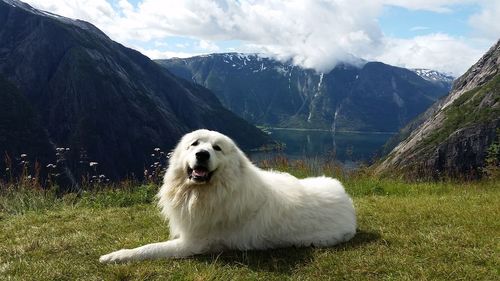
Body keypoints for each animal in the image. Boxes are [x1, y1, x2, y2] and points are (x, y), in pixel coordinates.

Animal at [99, 129, 356, 262]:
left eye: (217, 148)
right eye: (195, 144)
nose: (202, 154)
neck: (208, 191)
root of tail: (346, 197)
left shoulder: (192, 243)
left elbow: (149, 248)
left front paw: (116, 255)